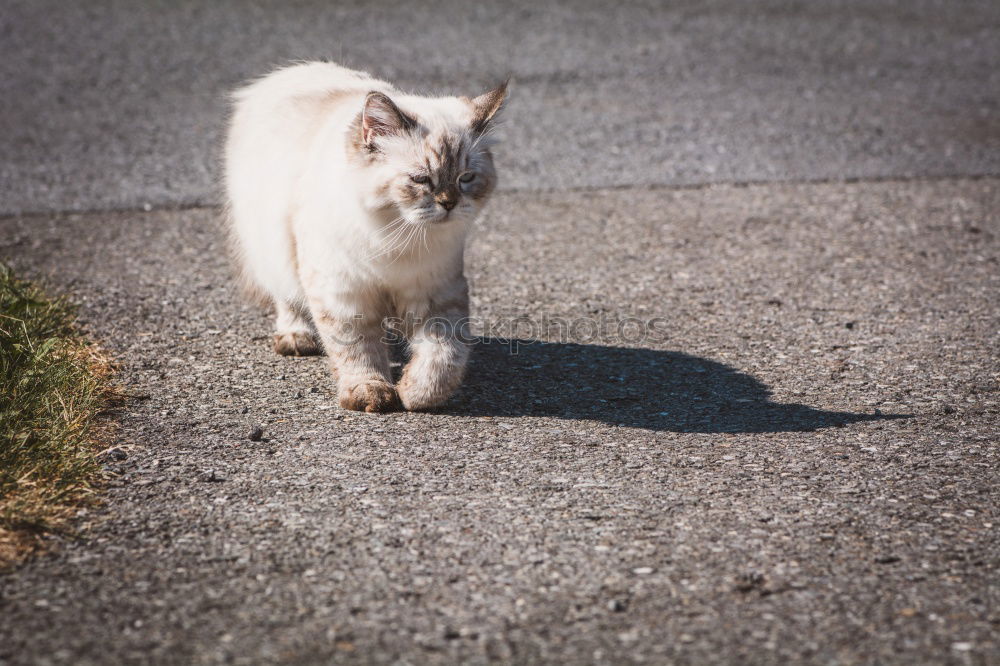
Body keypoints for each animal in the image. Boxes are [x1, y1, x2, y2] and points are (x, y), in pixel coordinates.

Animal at [227, 65, 508, 412]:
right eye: (421, 180)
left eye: (465, 178)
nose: (448, 203)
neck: (396, 237)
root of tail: (290, 71)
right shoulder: (343, 294)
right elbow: (357, 350)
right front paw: (370, 394)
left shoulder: (437, 294)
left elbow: (443, 354)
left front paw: (416, 394)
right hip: (274, 249)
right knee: (287, 296)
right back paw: (296, 338)